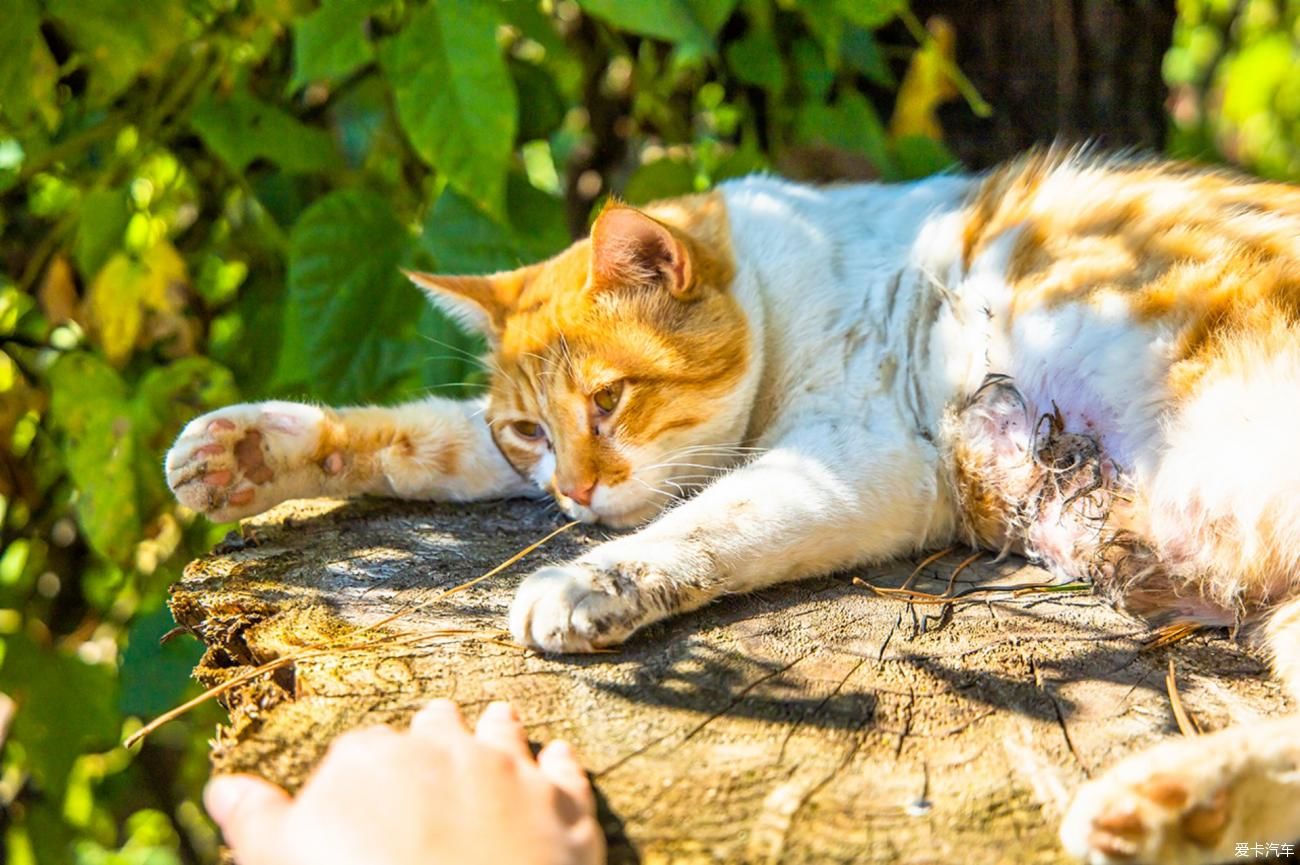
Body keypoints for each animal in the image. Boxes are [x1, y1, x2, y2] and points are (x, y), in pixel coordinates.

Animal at [167, 148, 1300, 863]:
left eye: (610, 399)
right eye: (529, 430)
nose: (575, 489)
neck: (786, 282)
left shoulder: (857, 460)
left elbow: (710, 520)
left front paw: (585, 584)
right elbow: (423, 436)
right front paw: (248, 446)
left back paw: (1166, 800)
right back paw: (1174, 806)